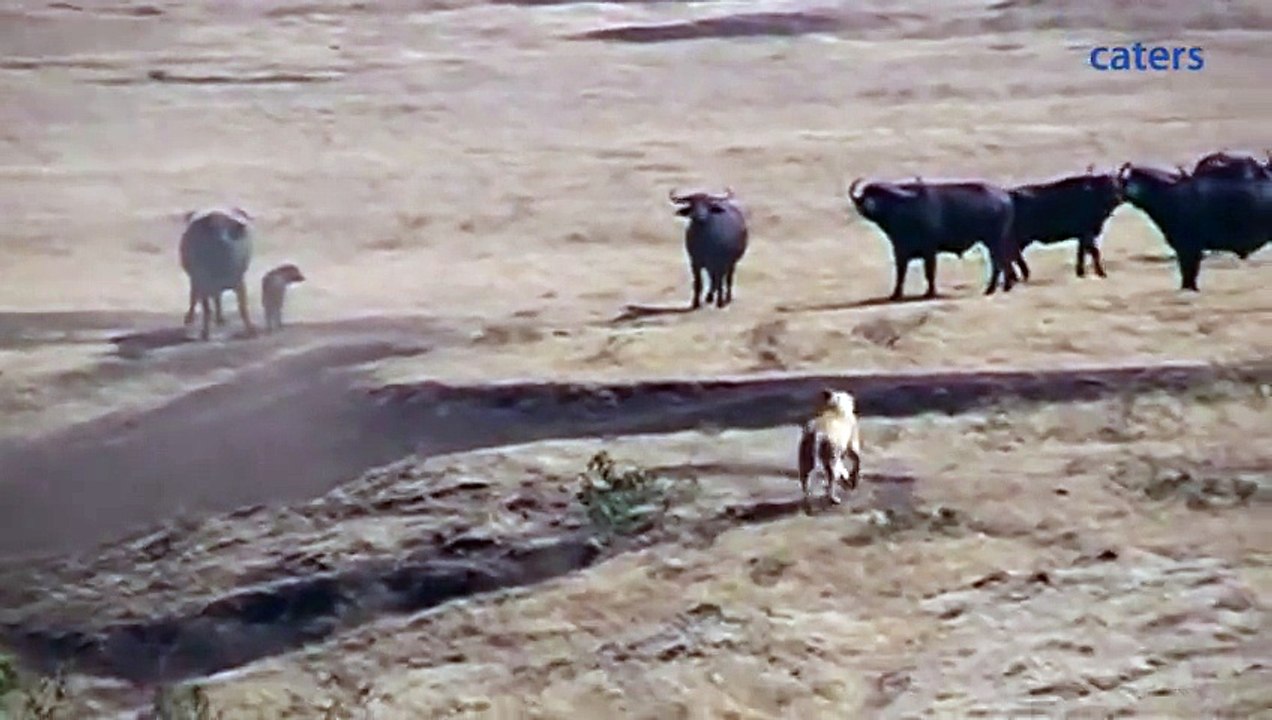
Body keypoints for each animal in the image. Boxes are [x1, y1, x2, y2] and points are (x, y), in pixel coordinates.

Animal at [180, 207, 257, 340]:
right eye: (211, 227)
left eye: (229, 227)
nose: (223, 240)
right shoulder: (203, 284)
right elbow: (206, 309)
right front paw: (205, 333)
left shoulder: (239, 282)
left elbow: (243, 308)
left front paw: (250, 330)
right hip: (196, 280)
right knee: (195, 296)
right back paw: (191, 318)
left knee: (217, 298)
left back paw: (220, 318)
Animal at [847, 176, 1019, 299]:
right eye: (866, 195)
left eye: (881, 195)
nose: (867, 206)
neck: (906, 212)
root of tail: (1005, 197)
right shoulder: (900, 251)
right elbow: (900, 273)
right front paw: (896, 294)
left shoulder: (929, 250)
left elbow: (929, 272)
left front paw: (930, 293)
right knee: (1001, 260)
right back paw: (1003, 287)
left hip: (994, 240)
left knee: (998, 261)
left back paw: (993, 289)